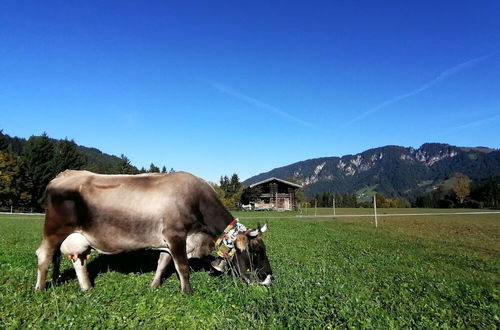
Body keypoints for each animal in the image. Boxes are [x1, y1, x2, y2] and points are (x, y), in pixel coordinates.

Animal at [34, 170, 274, 294]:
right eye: (255, 252)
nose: (269, 279)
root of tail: (64, 174)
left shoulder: (168, 243)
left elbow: (162, 264)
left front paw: (154, 286)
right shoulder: (176, 236)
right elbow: (182, 267)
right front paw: (188, 292)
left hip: (77, 238)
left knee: (78, 260)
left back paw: (87, 288)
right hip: (54, 231)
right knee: (44, 255)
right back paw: (40, 288)